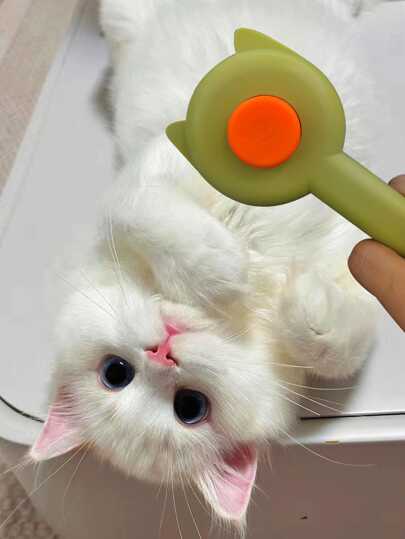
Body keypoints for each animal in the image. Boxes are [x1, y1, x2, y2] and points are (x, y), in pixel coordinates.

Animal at [30, 0, 382, 527]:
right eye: (190, 407)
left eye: (115, 373)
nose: (162, 350)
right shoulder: (142, 180)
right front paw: (230, 273)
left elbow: (340, 345)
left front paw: (282, 294)